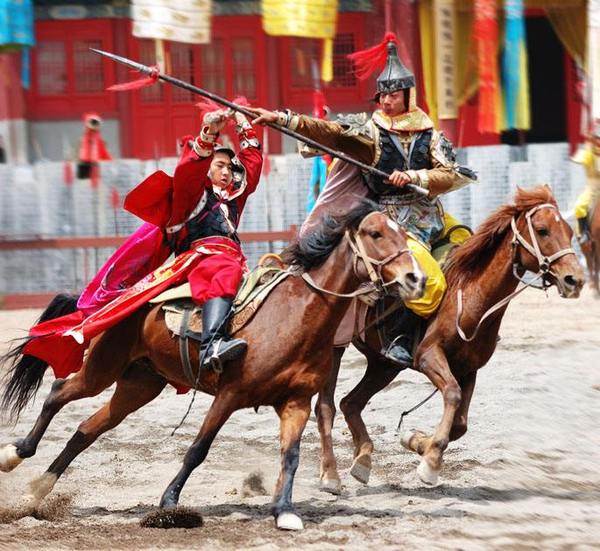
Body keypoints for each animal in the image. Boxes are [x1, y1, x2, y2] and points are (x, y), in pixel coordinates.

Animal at [0, 202, 426, 531]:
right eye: (375, 233)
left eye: (403, 233)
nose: (416, 278)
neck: (295, 316)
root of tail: (123, 296)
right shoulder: (230, 394)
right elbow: (198, 450)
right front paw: (169, 503)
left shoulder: (296, 403)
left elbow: (290, 456)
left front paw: (284, 511)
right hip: (102, 369)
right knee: (58, 394)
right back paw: (16, 454)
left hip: (139, 385)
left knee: (86, 429)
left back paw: (40, 488)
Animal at [314, 185, 585, 493]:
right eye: (542, 230)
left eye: (568, 230)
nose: (574, 279)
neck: (468, 296)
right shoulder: (429, 357)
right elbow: (452, 394)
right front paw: (430, 463)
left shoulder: (468, 369)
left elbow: (461, 424)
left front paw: (416, 440)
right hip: (335, 350)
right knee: (326, 408)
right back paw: (330, 475)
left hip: (384, 365)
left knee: (351, 403)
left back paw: (363, 460)